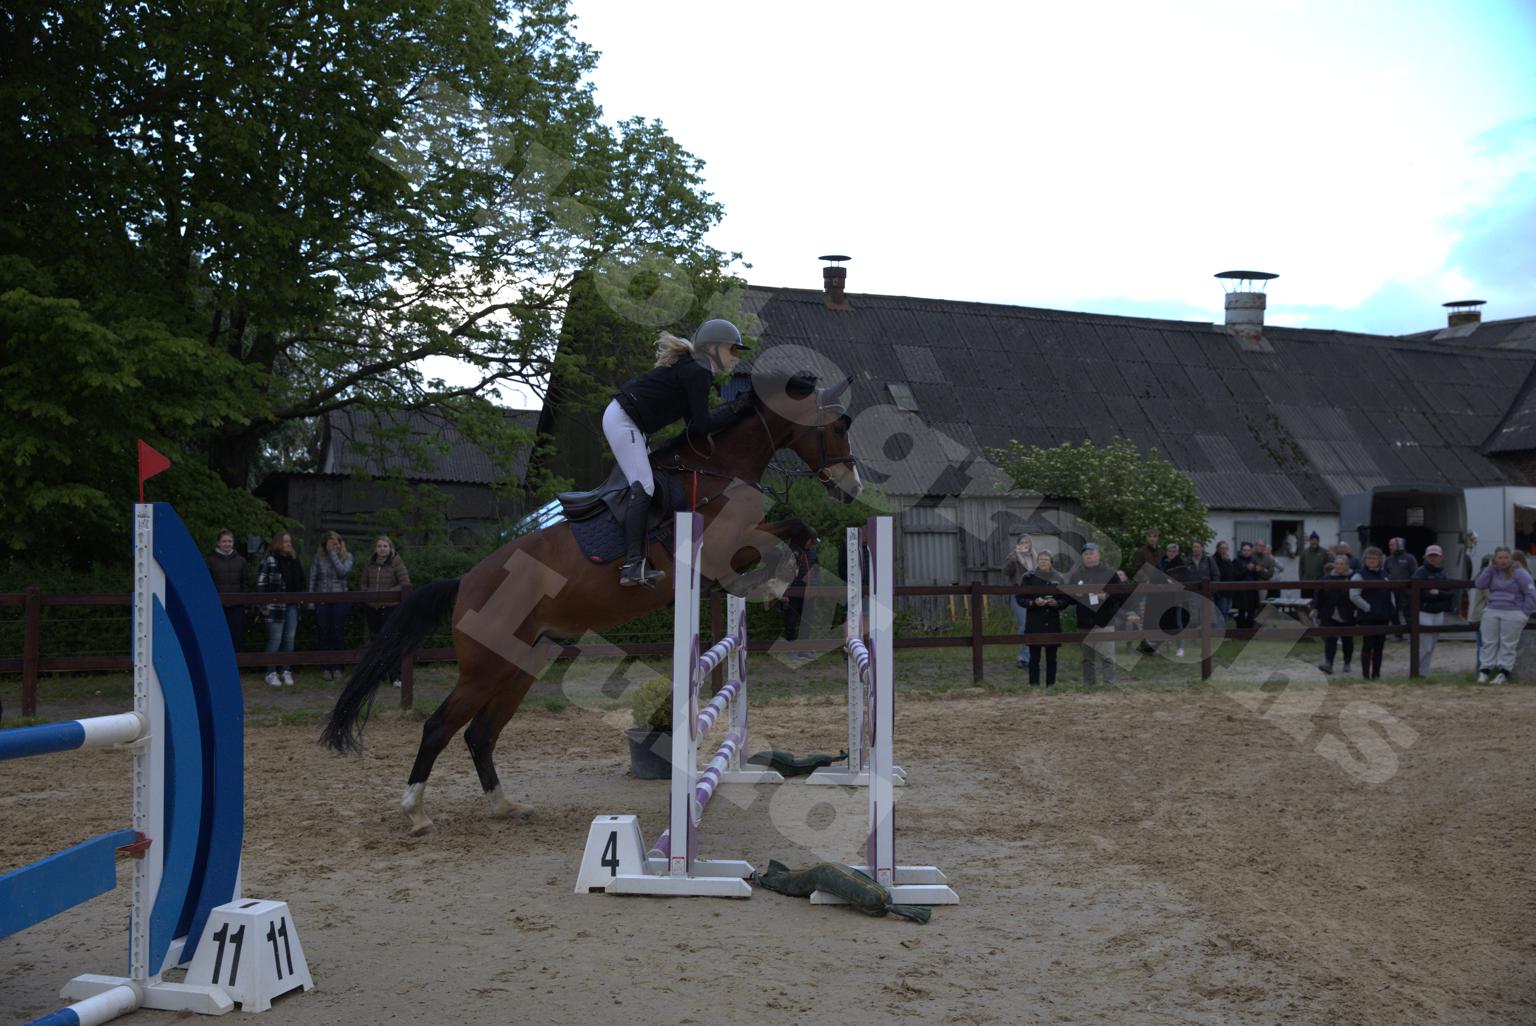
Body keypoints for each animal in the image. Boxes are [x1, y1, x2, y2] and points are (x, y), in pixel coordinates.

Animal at [321, 372, 862, 834]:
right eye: (838, 426)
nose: (853, 489)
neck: (716, 469)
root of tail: (466, 582)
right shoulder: (725, 546)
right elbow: (794, 532)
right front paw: (780, 591)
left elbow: (797, 534)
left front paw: (778, 589)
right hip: (485, 667)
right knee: (439, 727)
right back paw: (416, 812)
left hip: (521, 665)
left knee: (481, 733)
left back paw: (504, 806)